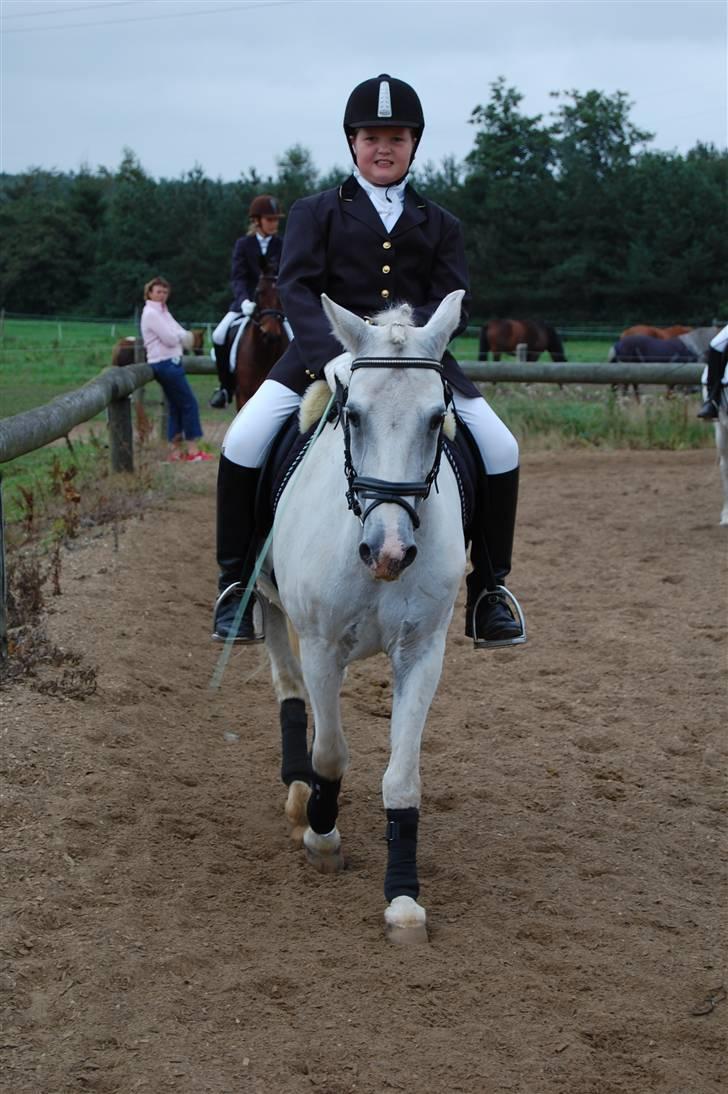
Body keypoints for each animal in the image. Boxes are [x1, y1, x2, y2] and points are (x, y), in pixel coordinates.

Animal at [252, 289, 468, 944]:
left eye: (436, 419)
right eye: (352, 415)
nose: (389, 552)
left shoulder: (422, 651)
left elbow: (402, 776)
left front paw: (403, 898)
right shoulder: (323, 645)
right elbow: (330, 752)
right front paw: (322, 836)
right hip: (267, 602)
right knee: (288, 684)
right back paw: (301, 793)